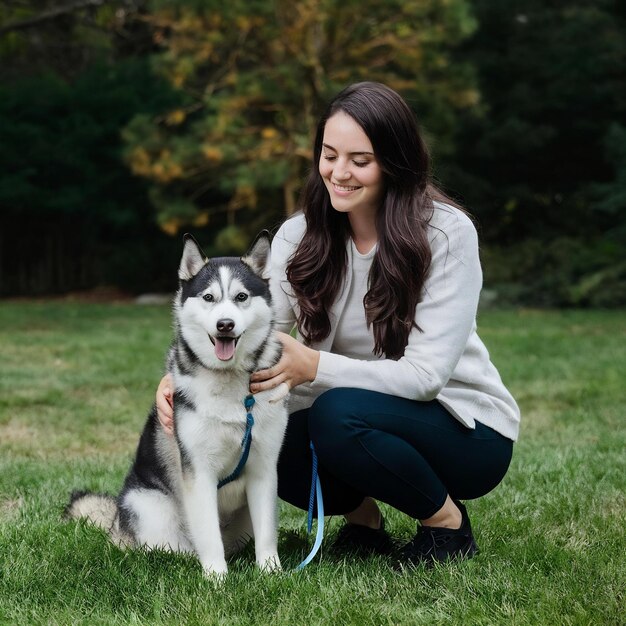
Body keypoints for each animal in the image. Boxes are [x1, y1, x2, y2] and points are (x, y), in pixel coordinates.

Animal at [66, 232, 288, 572]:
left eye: (241, 297)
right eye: (209, 297)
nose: (225, 324)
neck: (229, 383)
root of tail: (116, 523)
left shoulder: (263, 468)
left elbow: (267, 532)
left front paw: (271, 573)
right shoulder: (198, 472)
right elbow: (208, 536)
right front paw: (216, 578)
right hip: (149, 507)